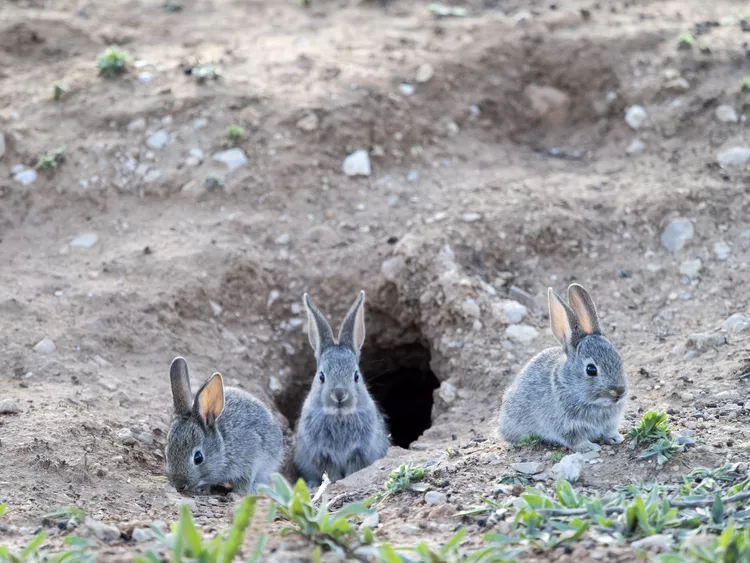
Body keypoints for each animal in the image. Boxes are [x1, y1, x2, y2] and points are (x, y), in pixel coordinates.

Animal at [166, 360, 284, 496]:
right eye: (167, 453)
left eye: (198, 457)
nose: (179, 485)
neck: (223, 446)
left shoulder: (249, 462)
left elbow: (244, 483)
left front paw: (237, 494)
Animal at [294, 294, 390, 486]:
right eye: (321, 376)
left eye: (356, 376)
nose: (339, 395)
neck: (339, 415)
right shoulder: (322, 454)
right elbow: (330, 472)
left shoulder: (359, 451)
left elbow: (354, 469)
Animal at [500, 284, 628, 452]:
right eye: (591, 370)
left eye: (619, 359)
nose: (619, 392)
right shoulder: (567, 425)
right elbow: (575, 439)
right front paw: (589, 447)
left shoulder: (610, 422)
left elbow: (608, 431)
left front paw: (615, 437)